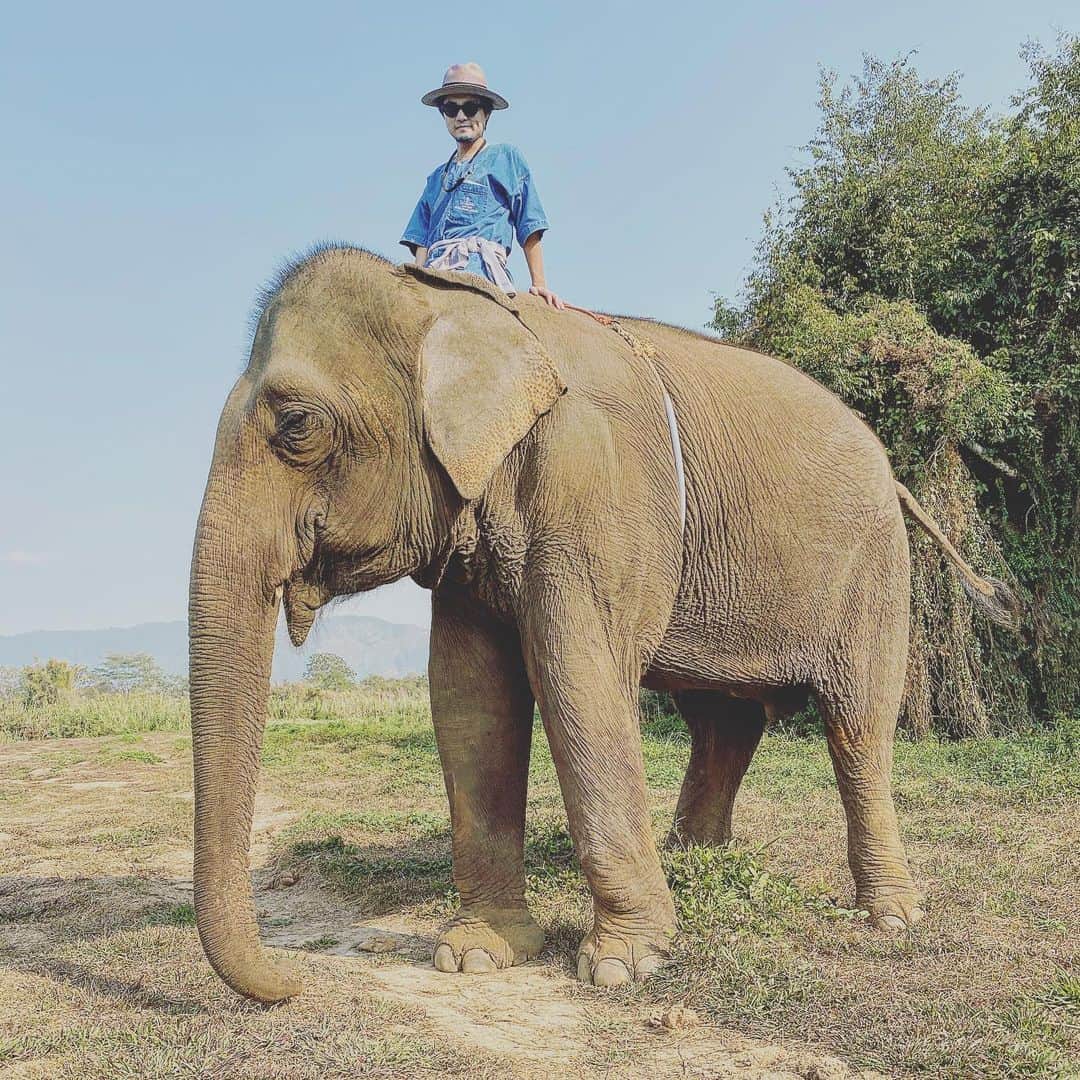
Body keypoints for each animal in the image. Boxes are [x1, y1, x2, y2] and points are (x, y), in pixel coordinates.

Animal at [189, 244, 1020, 1004]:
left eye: (296, 424)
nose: (295, 981)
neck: (462, 304)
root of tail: (896, 475)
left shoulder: (592, 484)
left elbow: (575, 677)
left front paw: (622, 965)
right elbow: (468, 698)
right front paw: (475, 956)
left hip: (873, 570)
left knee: (856, 727)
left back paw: (890, 917)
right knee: (722, 723)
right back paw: (694, 865)